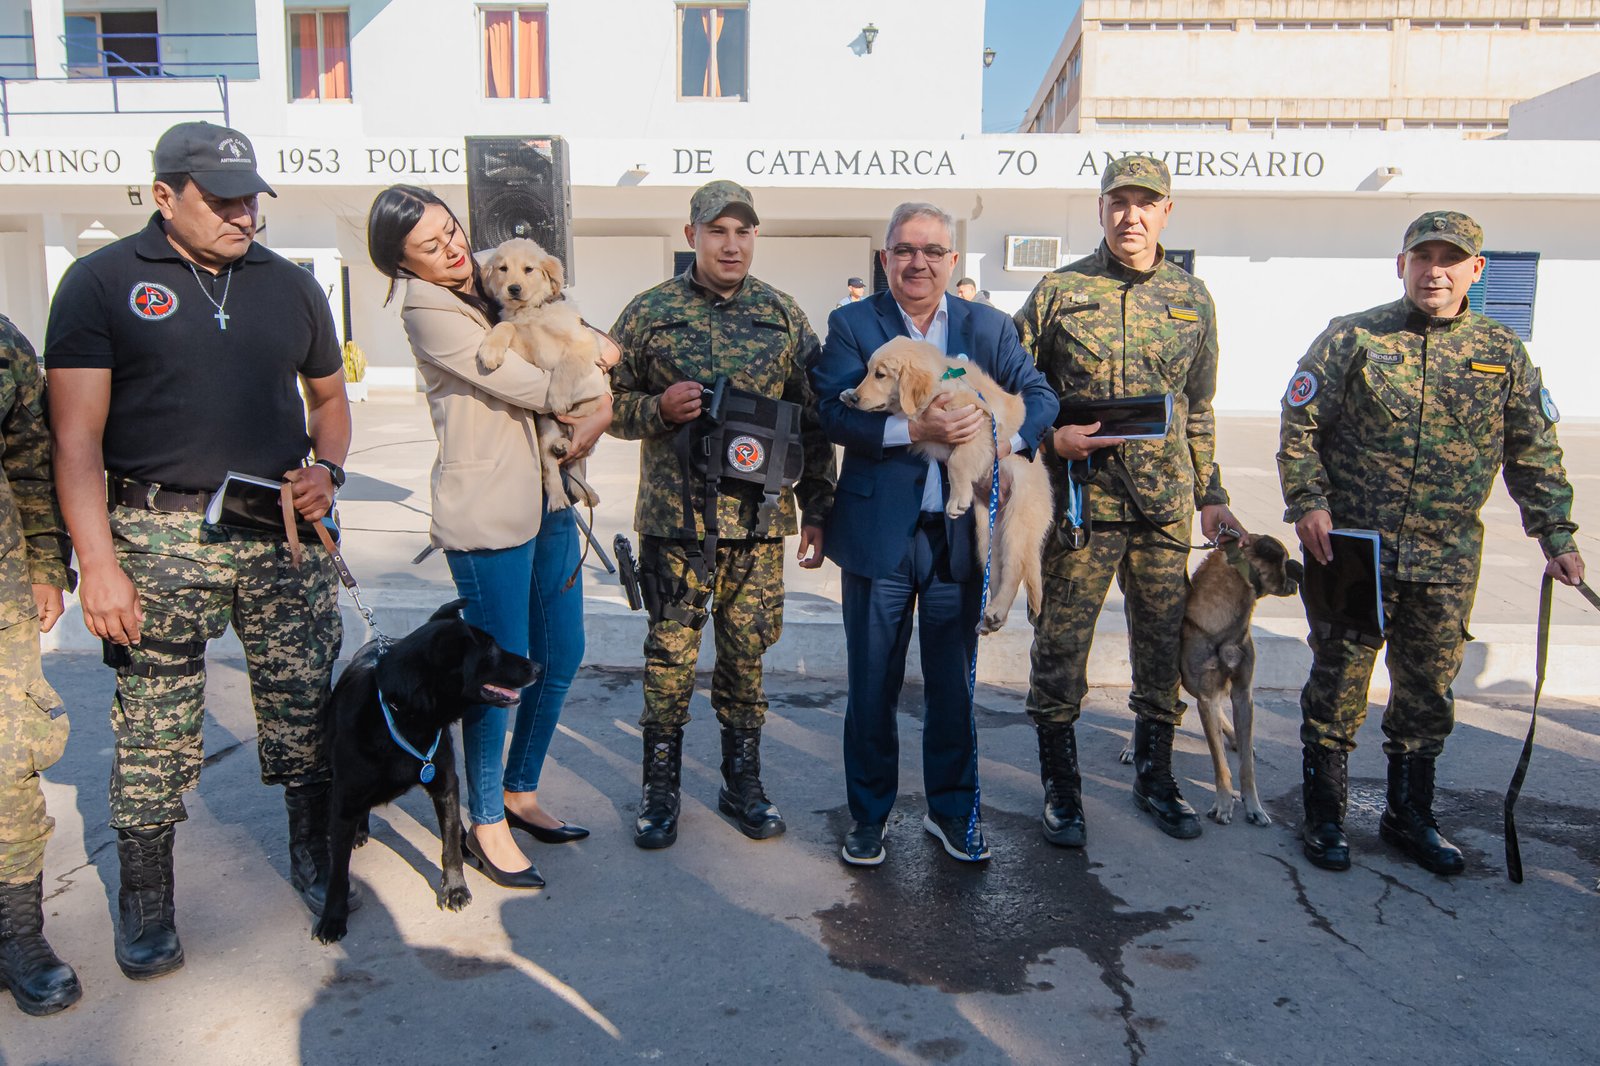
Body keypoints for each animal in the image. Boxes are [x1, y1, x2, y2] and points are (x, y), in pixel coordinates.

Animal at [312, 598, 537, 941]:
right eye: (490, 650)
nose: (537, 667)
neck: (402, 716)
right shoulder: (345, 798)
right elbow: (338, 871)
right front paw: (333, 917)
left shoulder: (445, 784)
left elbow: (449, 848)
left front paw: (454, 889)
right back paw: (360, 830)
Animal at [473, 236, 604, 512]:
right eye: (503, 269)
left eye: (528, 269)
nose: (513, 289)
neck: (533, 311)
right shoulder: (523, 353)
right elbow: (506, 325)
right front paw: (490, 349)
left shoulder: (583, 342)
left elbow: (565, 367)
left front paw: (558, 398)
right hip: (545, 429)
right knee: (554, 467)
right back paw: (557, 497)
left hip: (592, 410)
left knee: (578, 451)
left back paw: (584, 485)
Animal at [838, 336, 1049, 630]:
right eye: (867, 371)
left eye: (880, 375)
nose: (857, 397)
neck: (942, 380)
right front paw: (847, 393)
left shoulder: (979, 427)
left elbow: (958, 461)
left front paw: (957, 499)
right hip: (985, 534)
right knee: (994, 571)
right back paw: (989, 618)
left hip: (1018, 520)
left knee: (1014, 568)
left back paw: (996, 610)